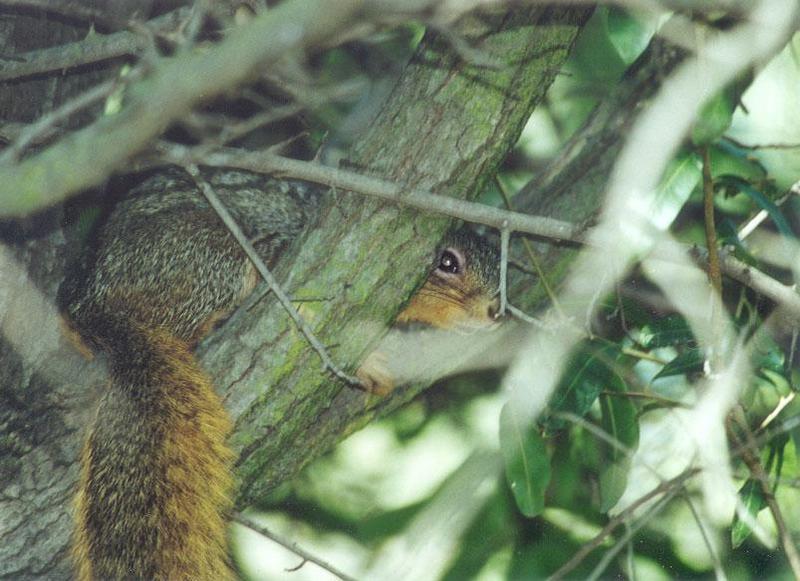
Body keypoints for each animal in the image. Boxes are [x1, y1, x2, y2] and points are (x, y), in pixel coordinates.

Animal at [65, 165, 500, 576]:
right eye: (447, 262)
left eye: (499, 264)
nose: (496, 310)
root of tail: (93, 305)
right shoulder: (277, 255)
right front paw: (369, 361)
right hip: (205, 254)